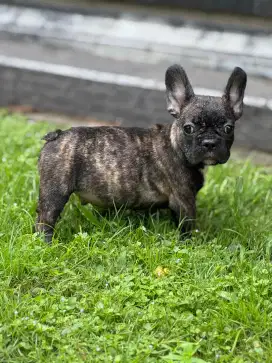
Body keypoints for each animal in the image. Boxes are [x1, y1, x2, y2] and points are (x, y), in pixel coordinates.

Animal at [35, 65, 246, 243]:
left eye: (228, 128)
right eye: (189, 128)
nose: (209, 142)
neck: (175, 145)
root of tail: (58, 135)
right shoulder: (184, 199)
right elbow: (187, 225)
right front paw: (191, 243)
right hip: (56, 190)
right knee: (45, 219)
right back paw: (46, 243)